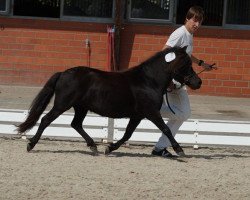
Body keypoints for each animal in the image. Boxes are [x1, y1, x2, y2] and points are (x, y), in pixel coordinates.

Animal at [17, 47, 201, 156]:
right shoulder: (151, 112)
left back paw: (93, 146)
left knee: (76, 124)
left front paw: (110, 147)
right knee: (45, 120)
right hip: (62, 105)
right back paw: (31, 145)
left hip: (81, 107)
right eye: (186, 64)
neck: (148, 81)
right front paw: (179, 150)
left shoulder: (137, 115)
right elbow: (166, 129)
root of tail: (63, 73)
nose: (198, 82)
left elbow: (127, 134)